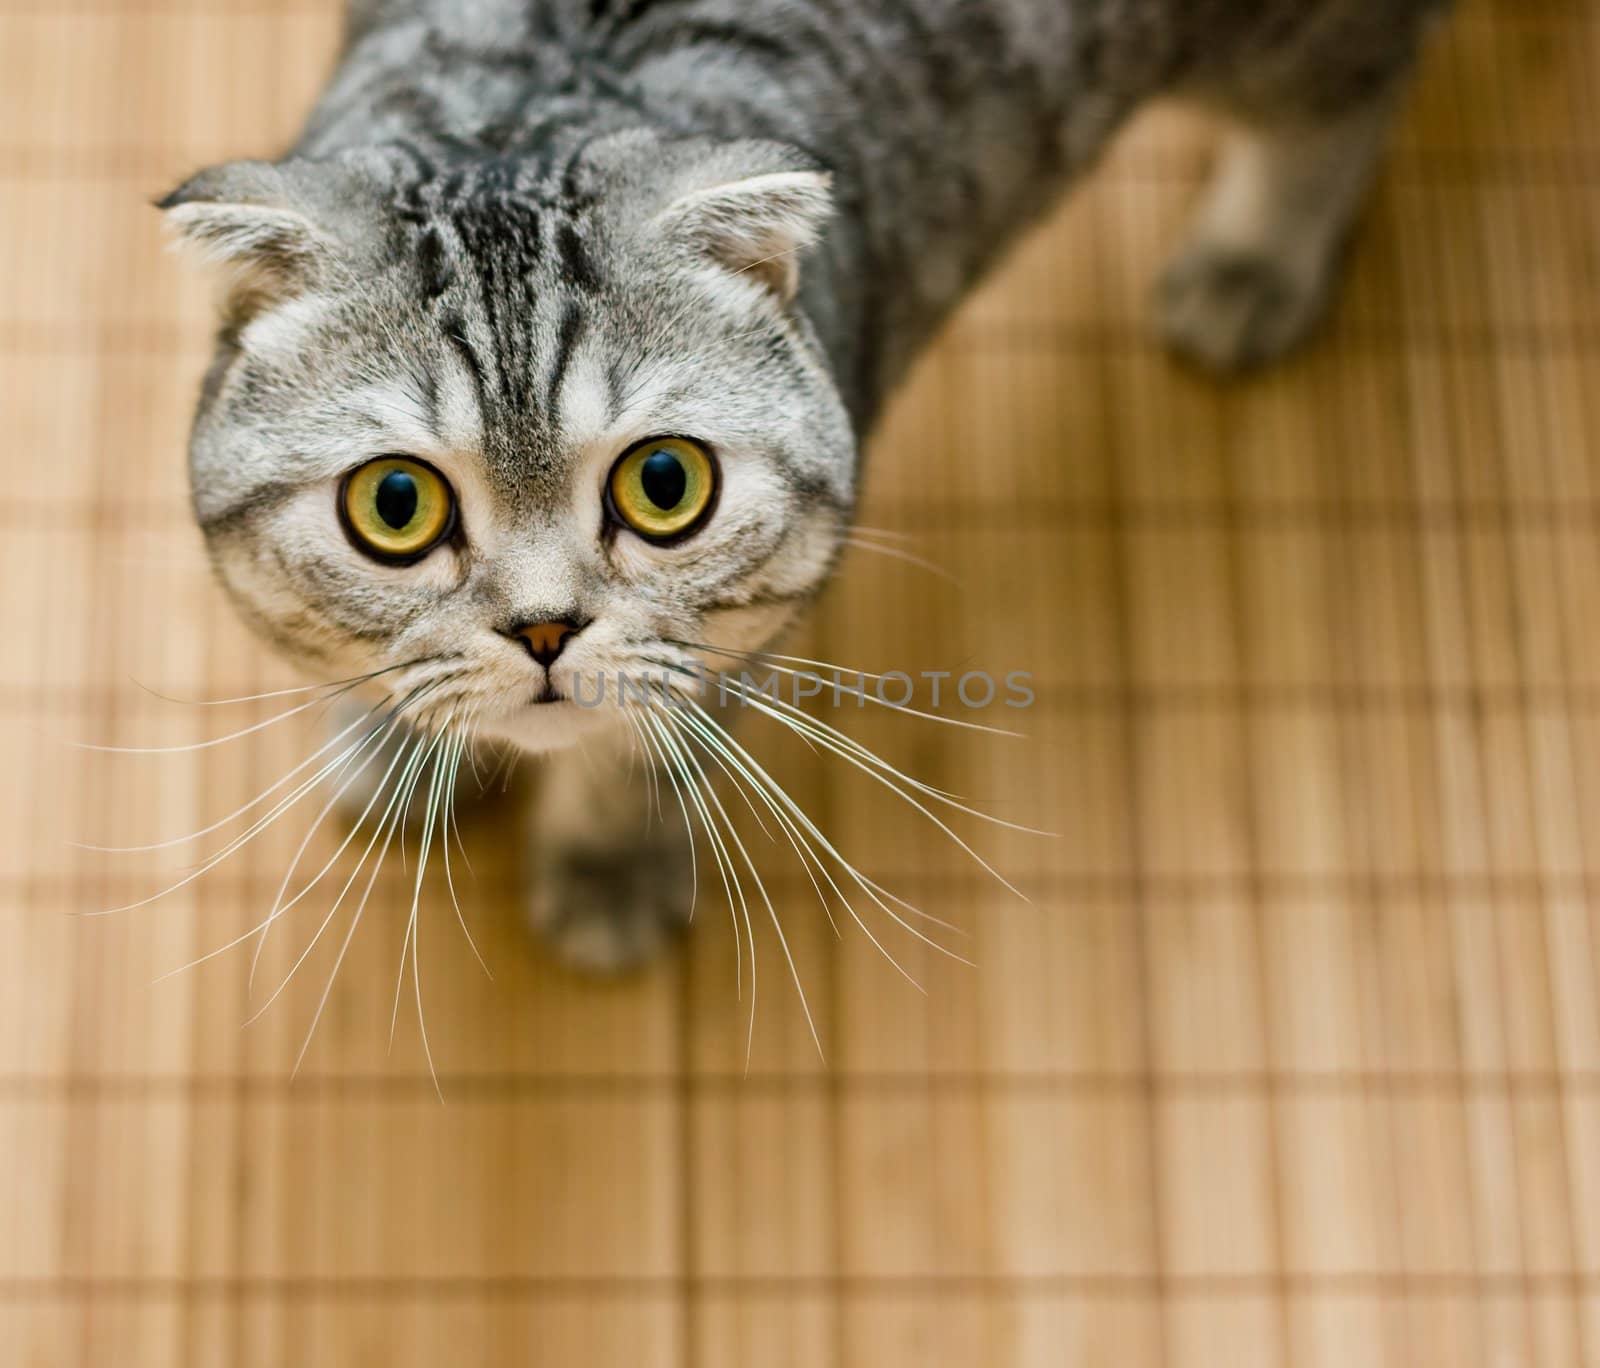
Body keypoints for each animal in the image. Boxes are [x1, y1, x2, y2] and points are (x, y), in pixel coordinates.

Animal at [162, 0, 1452, 972]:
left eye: (664, 484)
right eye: (397, 506)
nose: (543, 630)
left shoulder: (752, 626)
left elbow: (640, 754)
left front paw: (608, 868)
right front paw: (397, 744)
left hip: (1277, 36)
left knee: (1350, 90)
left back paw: (1252, 261)